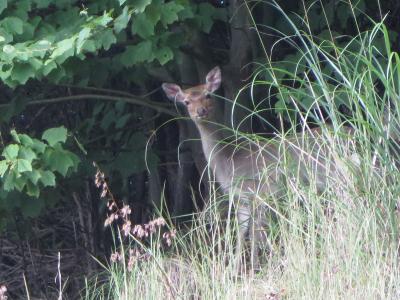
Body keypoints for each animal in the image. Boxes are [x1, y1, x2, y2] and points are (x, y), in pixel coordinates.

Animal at [162, 67, 360, 270]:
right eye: (186, 101)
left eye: (208, 94)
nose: (200, 111)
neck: (228, 162)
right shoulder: (240, 198)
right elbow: (242, 231)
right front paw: (235, 268)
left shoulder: (259, 191)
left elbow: (255, 232)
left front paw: (255, 266)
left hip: (336, 171)